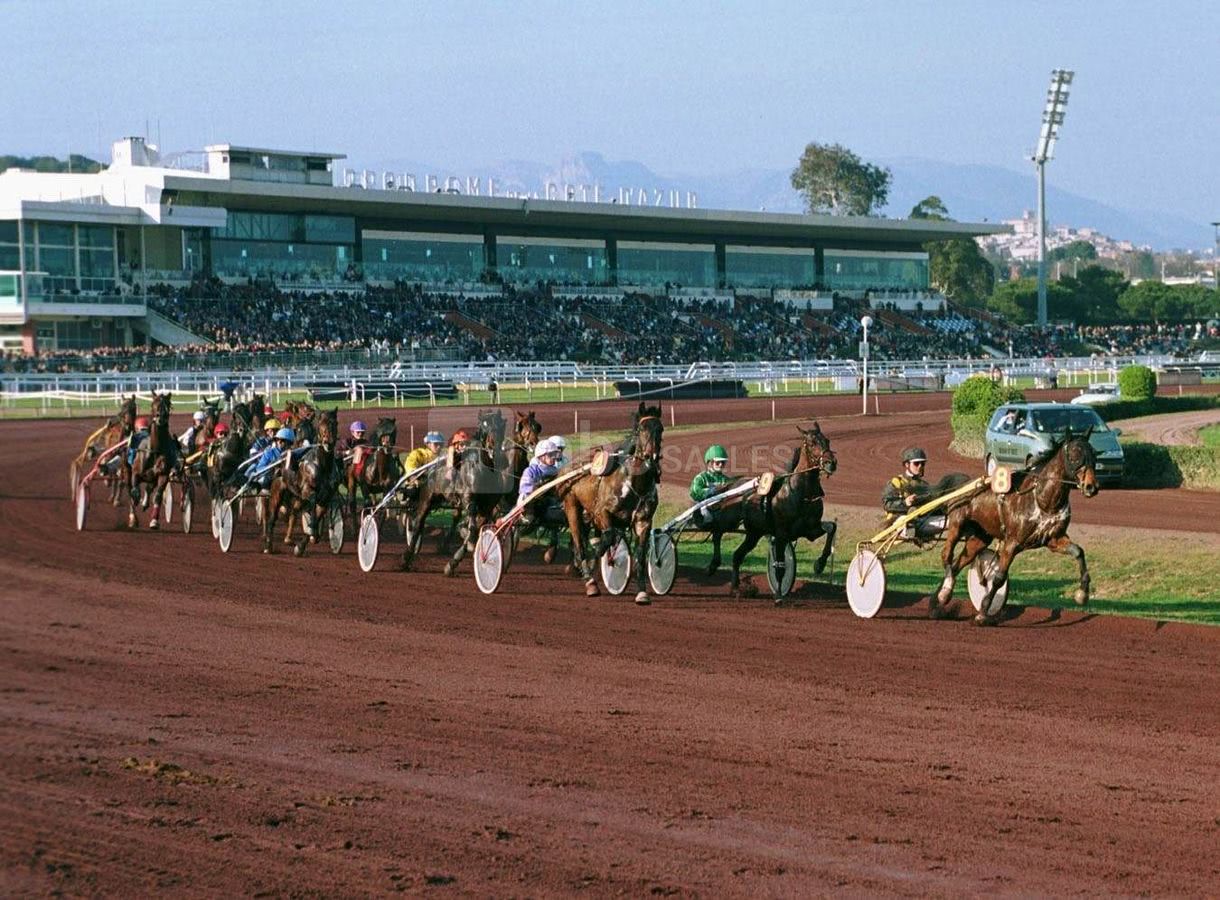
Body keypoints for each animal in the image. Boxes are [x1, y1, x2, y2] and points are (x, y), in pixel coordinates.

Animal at [558, 400, 663, 602]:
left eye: (660, 429)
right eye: (641, 429)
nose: (651, 456)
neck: (634, 483)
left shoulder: (643, 521)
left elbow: (639, 556)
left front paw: (642, 592)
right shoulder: (602, 512)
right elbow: (607, 538)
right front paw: (591, 571)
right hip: (571, 506)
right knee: (579, 542)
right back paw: (586, 575)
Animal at [722, 419, 839, 595]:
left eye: (828, 440)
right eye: (812, 443)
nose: (831, 463)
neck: (802, 494)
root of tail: (738, 484)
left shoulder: (810, 529)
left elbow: (832, 528)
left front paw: (820, 564)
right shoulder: (782, 534)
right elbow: (780, 566)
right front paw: (779, 594)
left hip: (754, 533)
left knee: (737, 555)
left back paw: (736, 587)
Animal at [932, 426, 1107, 624]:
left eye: (1094, 455)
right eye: (1075, 456)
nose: (1091, 486)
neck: (1042, 498)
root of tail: (962, 485)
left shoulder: (1053, 539)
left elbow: (1078, 552)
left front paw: (1082, 593)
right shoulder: (1012, 542)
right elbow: (999, 578)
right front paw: (983, 611)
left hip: (980, 537)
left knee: (957, 563)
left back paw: (939, 600)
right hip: (957, 524)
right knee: (946, 555)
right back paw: (944, 592)